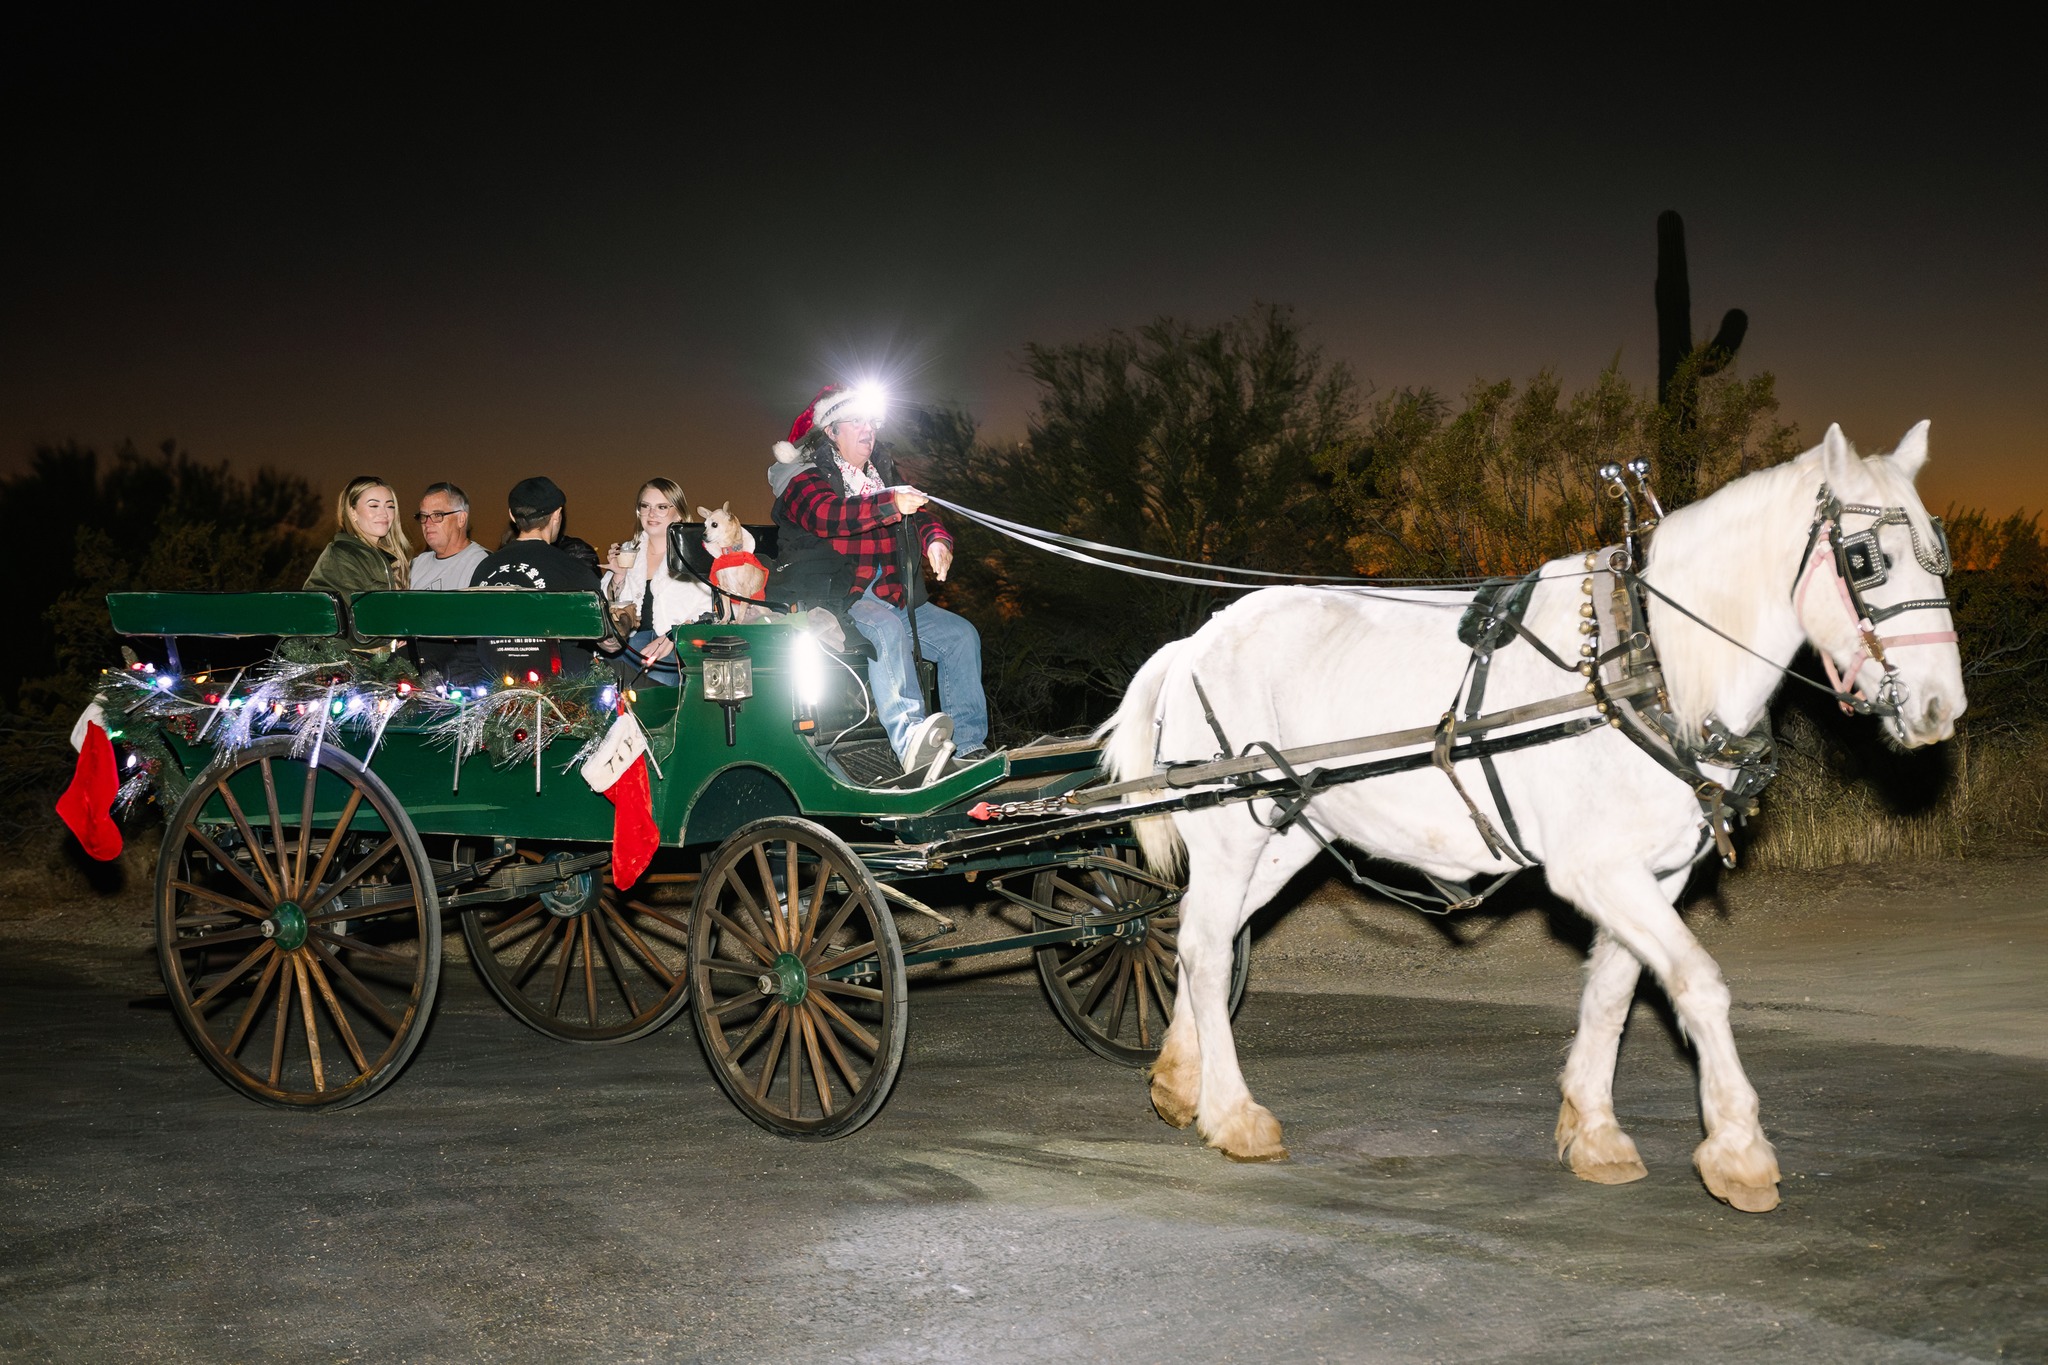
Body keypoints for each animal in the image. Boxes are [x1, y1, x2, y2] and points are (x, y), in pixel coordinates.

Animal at [1105, 421, 1966, 1211]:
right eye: (1868, 558)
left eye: (1940, 553)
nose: (1939, 707)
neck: (1646, 662)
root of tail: (1193, 642)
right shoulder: (1596, 868)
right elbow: (1697, 980)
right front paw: (1738, 1147)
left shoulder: (1656, 871)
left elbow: (1616, 989)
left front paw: (1596, 1131)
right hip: (1232, 829)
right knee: (1208, 949)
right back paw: (1234, 1112)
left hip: (1287, 835)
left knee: (1204, 935)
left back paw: (1182, 1080)